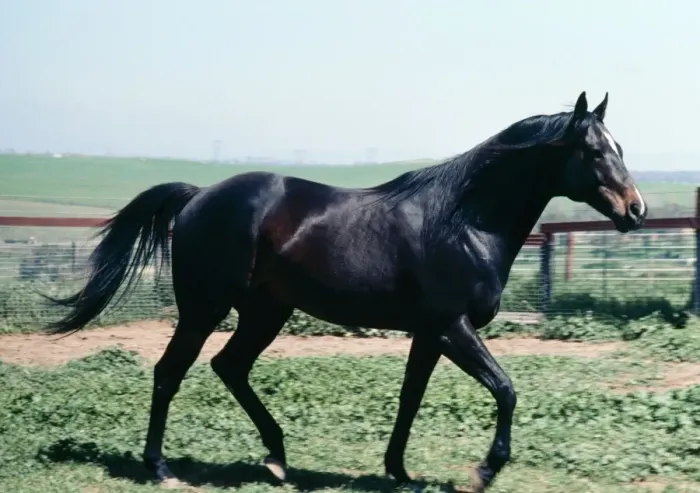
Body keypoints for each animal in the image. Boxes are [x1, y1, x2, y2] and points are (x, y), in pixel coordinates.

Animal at [44, 91, 647, 492]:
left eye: (619, 146)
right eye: (595, 152)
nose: (636, 210)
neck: (464, 222)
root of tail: (198, 196)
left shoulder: (430, 334)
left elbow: (410, 399)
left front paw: (399, 471)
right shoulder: (453, 328)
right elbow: (505, 389)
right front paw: (483, 471)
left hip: (265, 311)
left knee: (229, 367)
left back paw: (277, 458)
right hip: (204, 308)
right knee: (170, 372)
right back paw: (162, 468)